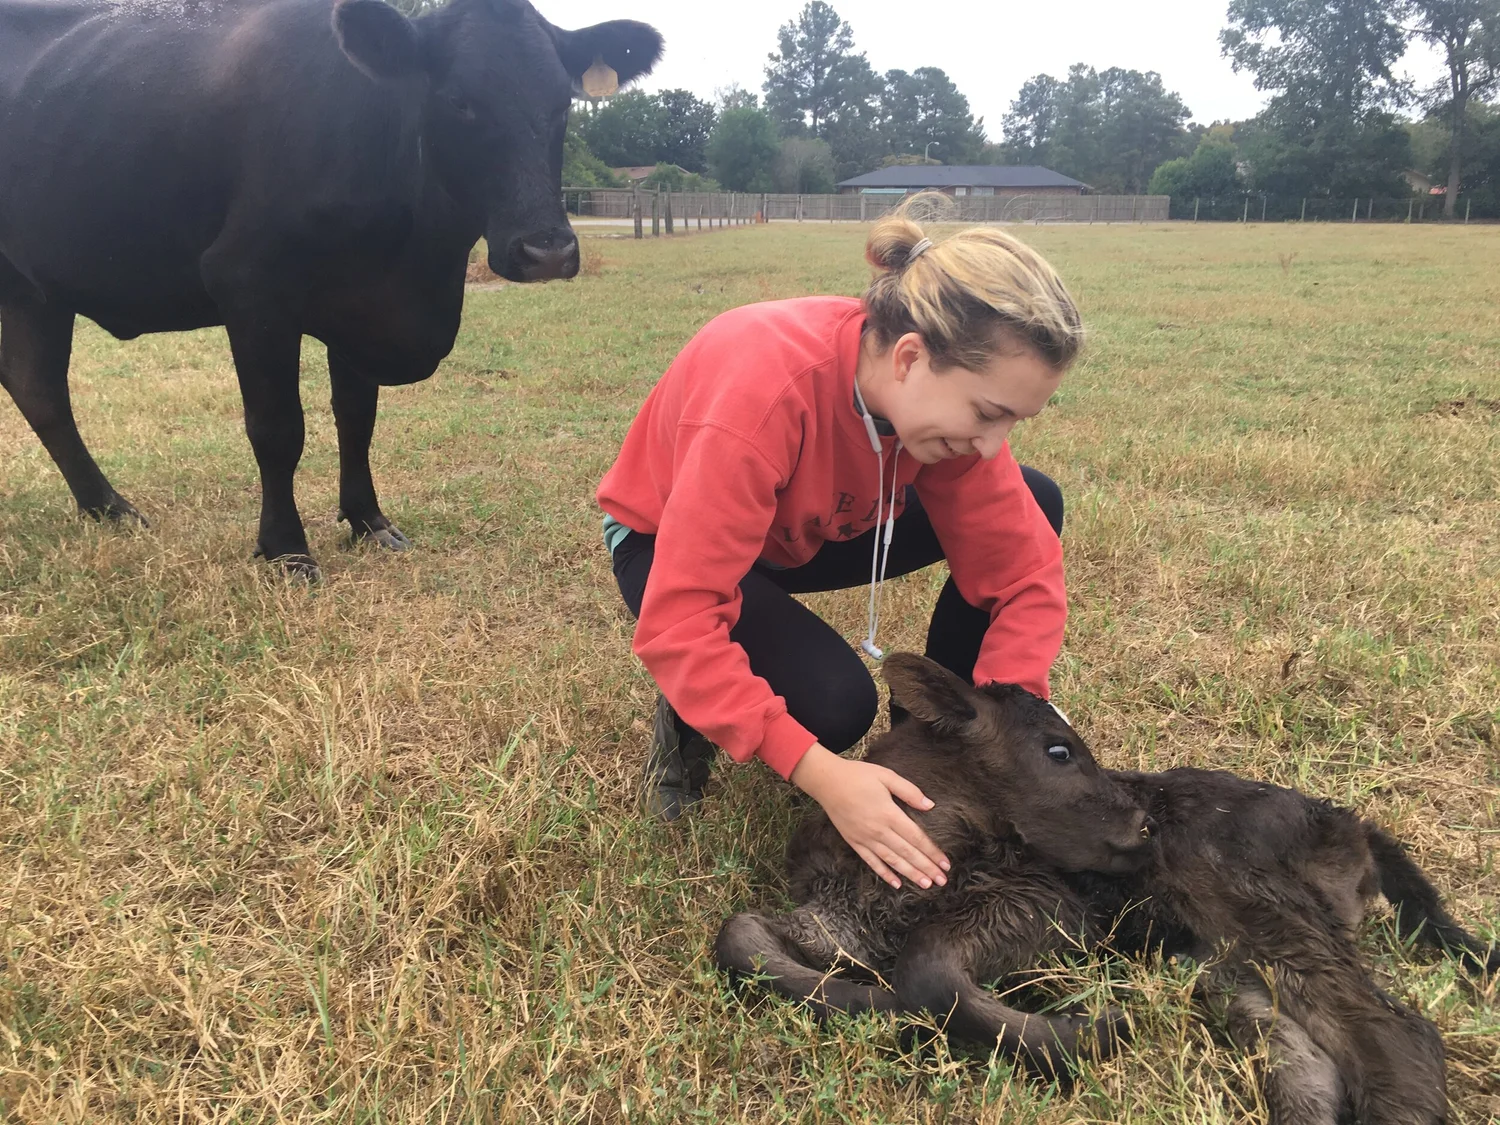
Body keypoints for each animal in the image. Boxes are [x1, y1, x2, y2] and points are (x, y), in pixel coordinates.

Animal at [0, 0, 662, 577]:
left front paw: (369, 520)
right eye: (458, 101)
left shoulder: (361, 306)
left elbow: (357, 418)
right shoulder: (251, 287)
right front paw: (286, 549)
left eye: (562, 103)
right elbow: (277, 427)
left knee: (40, 393)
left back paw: (107, 508)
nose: (547, 250)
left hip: (34, 293)